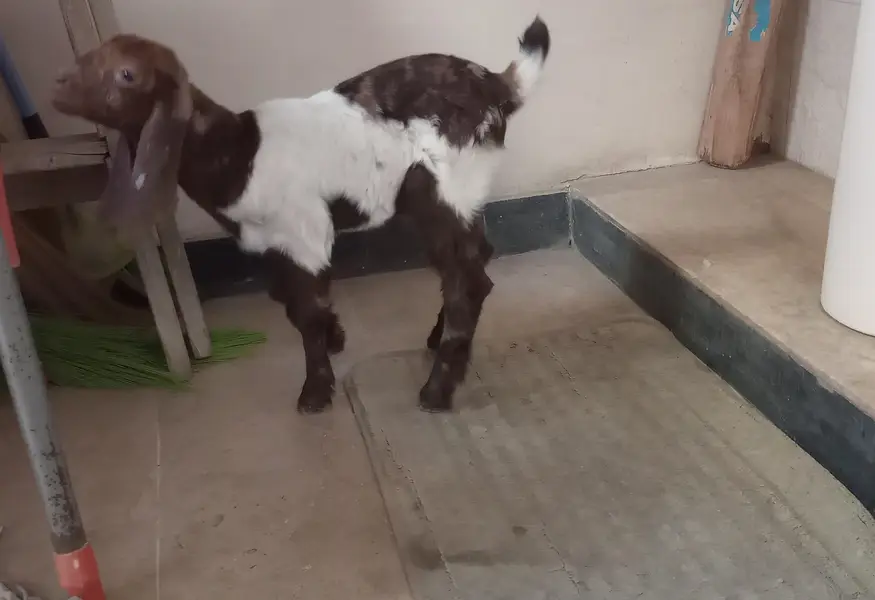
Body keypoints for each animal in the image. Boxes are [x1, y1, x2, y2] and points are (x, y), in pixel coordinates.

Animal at [51, 18, 551, 414]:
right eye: (87, 56)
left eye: (128, 74)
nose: (57, 86)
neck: (237, 152)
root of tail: (497, 85)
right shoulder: (274, 243)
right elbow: (293, 303)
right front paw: (335, 337)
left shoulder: (304, 231)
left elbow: (306, 312)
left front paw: (314, 391)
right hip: (458, 196)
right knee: (473, 260)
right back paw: (436, 340)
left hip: (443, 186)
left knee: (468, 280)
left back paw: (436, 391)